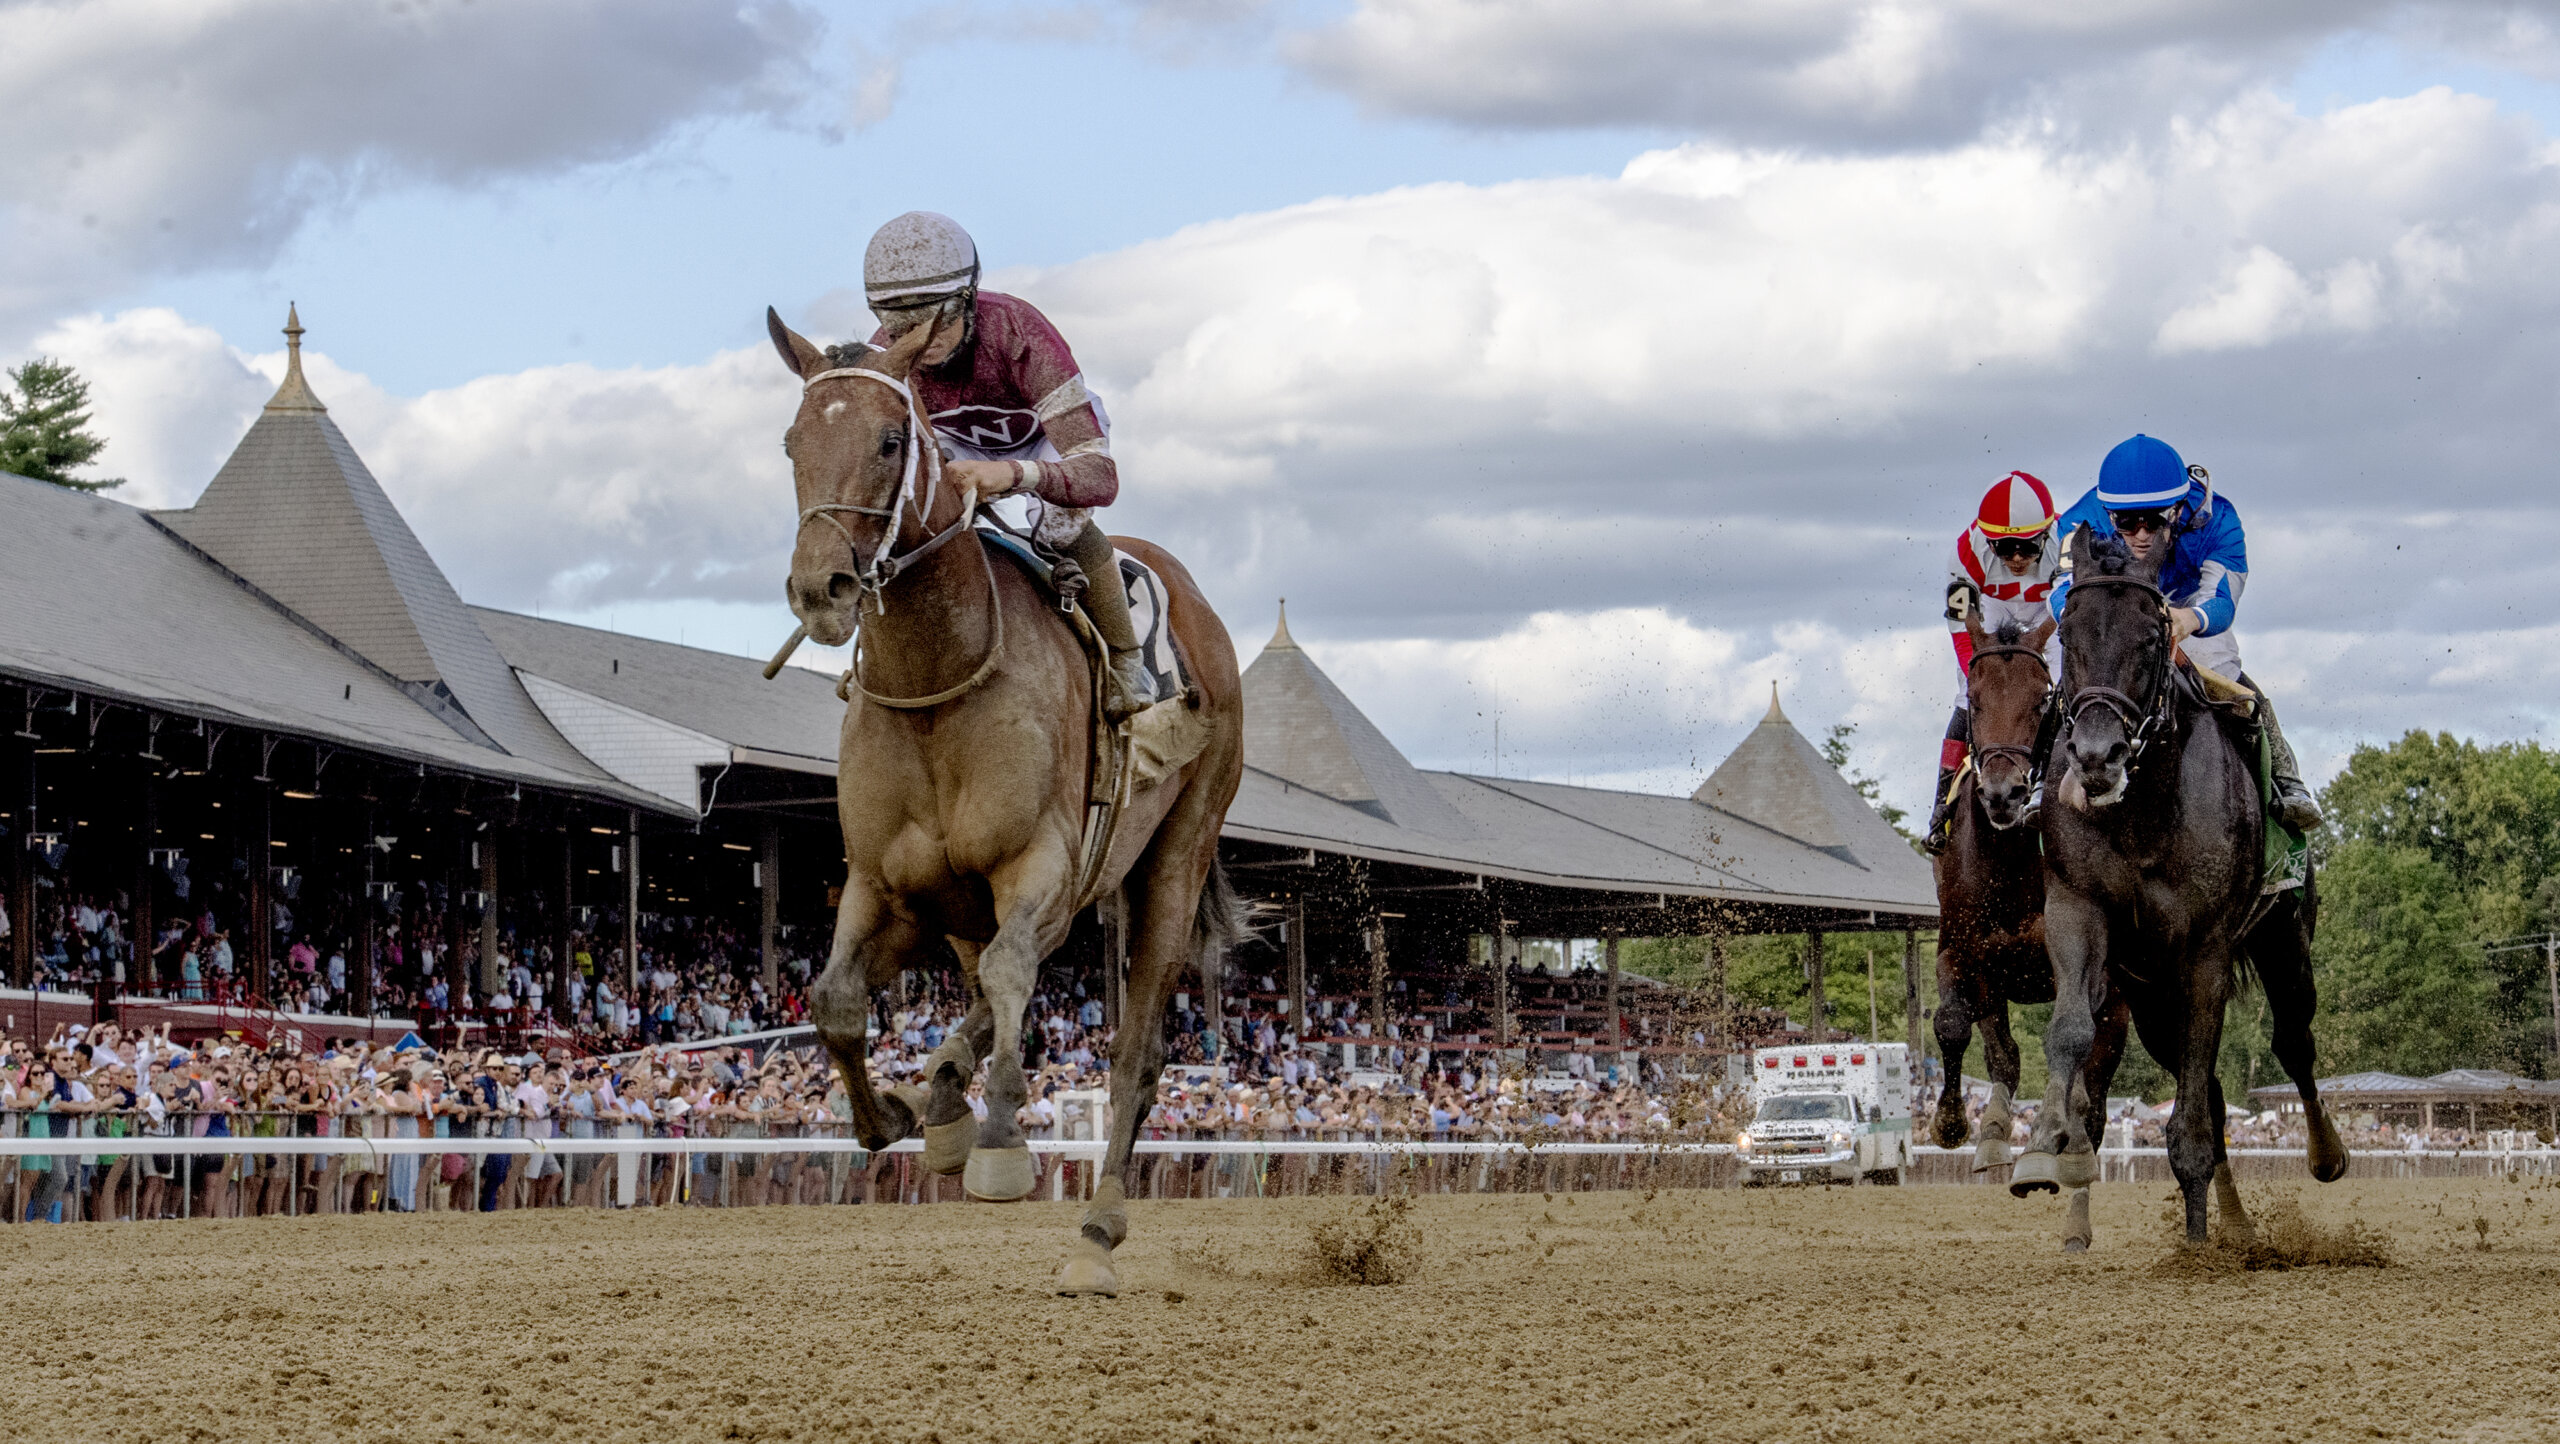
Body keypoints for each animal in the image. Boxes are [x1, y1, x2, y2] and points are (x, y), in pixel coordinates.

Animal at [768, 304, 1249, 1295]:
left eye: (888, 440)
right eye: (793, 442)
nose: (820, 589)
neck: (937, 681)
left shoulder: (1040, 864)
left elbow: (1014, 975)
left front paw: (995, 1135)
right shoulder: (884, 884)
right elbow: (836, 1001)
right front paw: (895, 1114)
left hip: (1171, 859)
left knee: (1135, 1053)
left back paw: (1096, 1229)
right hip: (972, 902)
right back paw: (942, 1095)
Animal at [2007, 527, 2344, 1239]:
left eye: (2150, 637)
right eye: (2068, 636)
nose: (2096, 758)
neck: (2144, 815)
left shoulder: (2206, 947)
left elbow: (2193, 1121)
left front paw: (2195, 1247)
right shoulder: (2076, 908)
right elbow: (2070, 1029)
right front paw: (2041, 1148)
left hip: (2283, 942)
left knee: (2292, 1043)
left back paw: (2323, 1156)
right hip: (2152, 997)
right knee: (2212, 1093)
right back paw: (2234, 1227)